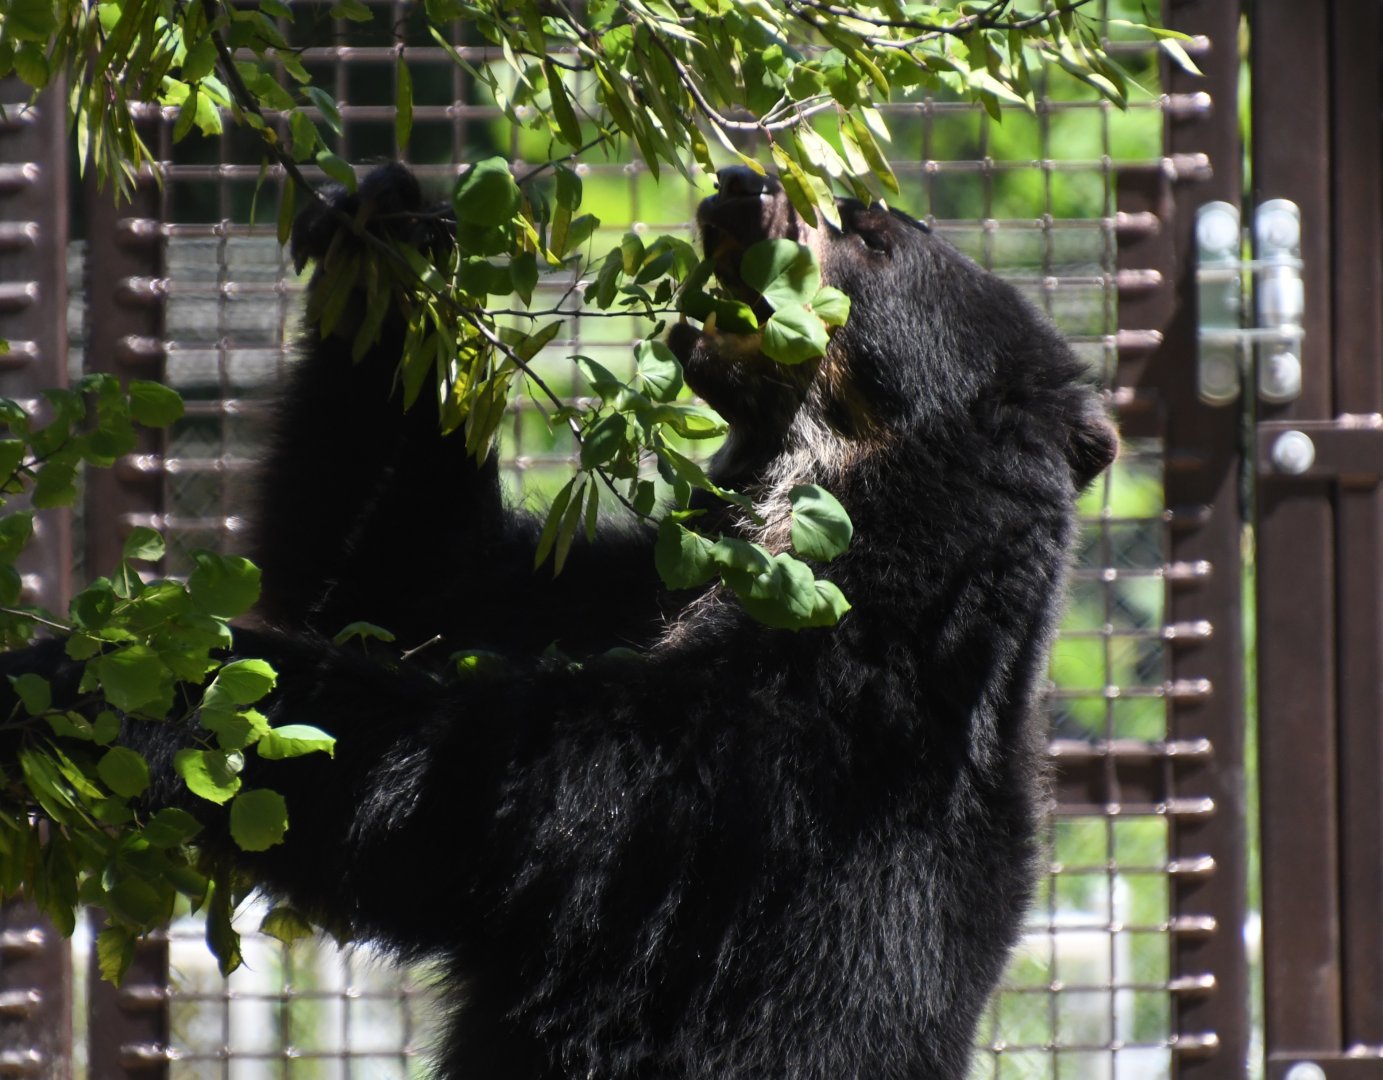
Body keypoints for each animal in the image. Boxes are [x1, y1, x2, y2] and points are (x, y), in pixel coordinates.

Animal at [1, 162, 1116, 1079]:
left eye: (870, 230)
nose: (739, 184)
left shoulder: (792, 766)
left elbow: (491, 794)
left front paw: (90, 676)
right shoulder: (638, 584)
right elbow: (415, 580)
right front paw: (388, 229)